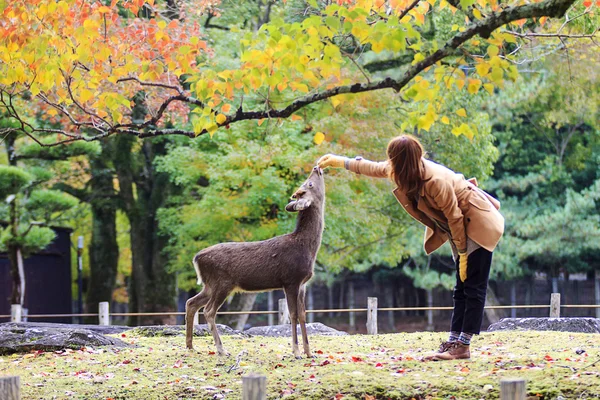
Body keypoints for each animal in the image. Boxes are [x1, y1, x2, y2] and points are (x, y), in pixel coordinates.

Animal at [185, 166, 326, 360]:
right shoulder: (290, 279)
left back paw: (190, 346)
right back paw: (221, 349)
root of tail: (196, 258)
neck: (307, 247)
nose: (316, 167)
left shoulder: (303, 283)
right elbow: (293, 315)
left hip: (210, 285)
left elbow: (304, 315)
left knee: (191, 302)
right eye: (309, 183)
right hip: (222, 282)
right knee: (208, 310)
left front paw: (309, 352)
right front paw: (296, 352)